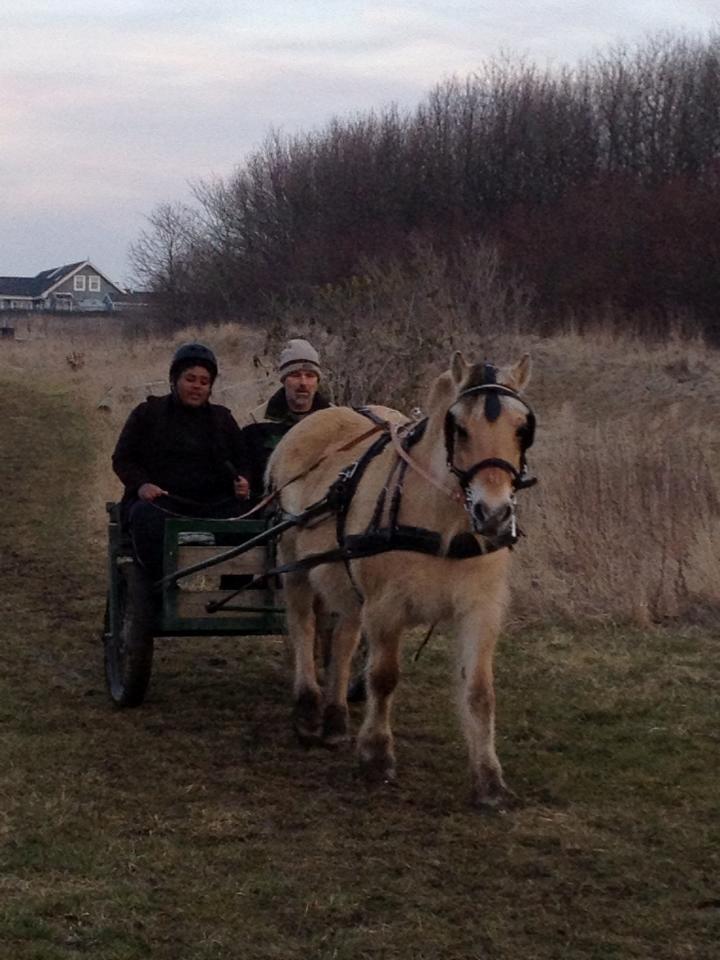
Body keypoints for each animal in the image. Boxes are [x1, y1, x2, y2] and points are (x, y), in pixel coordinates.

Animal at [268, 348, 536, 808]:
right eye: (458, 427)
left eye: (522, 428)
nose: (495, 515)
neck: (444, 523)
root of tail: (315, 418)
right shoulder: (385, 606)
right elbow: (383, 676)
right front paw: (376, 757)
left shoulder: (481, 609)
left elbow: (480, 691)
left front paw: (489, 780)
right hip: (295, 561)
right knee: (303, 625)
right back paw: (307, 710)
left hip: (347, 577)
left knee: (342, 640)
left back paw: (335, 718)